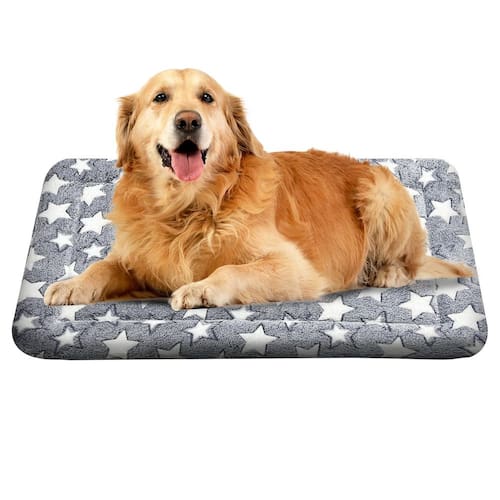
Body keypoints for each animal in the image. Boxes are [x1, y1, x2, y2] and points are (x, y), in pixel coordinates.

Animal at [44, 68, 473, 309]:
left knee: (408, 262)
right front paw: (72, 285)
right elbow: (102, 265)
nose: (188, 121)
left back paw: (387, 273)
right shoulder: (135, 261)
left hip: (380, 192)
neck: (189, 208)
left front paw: (200, 289)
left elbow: (231, 268)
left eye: (206, 97)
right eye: (160, 98)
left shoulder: (296, 268)